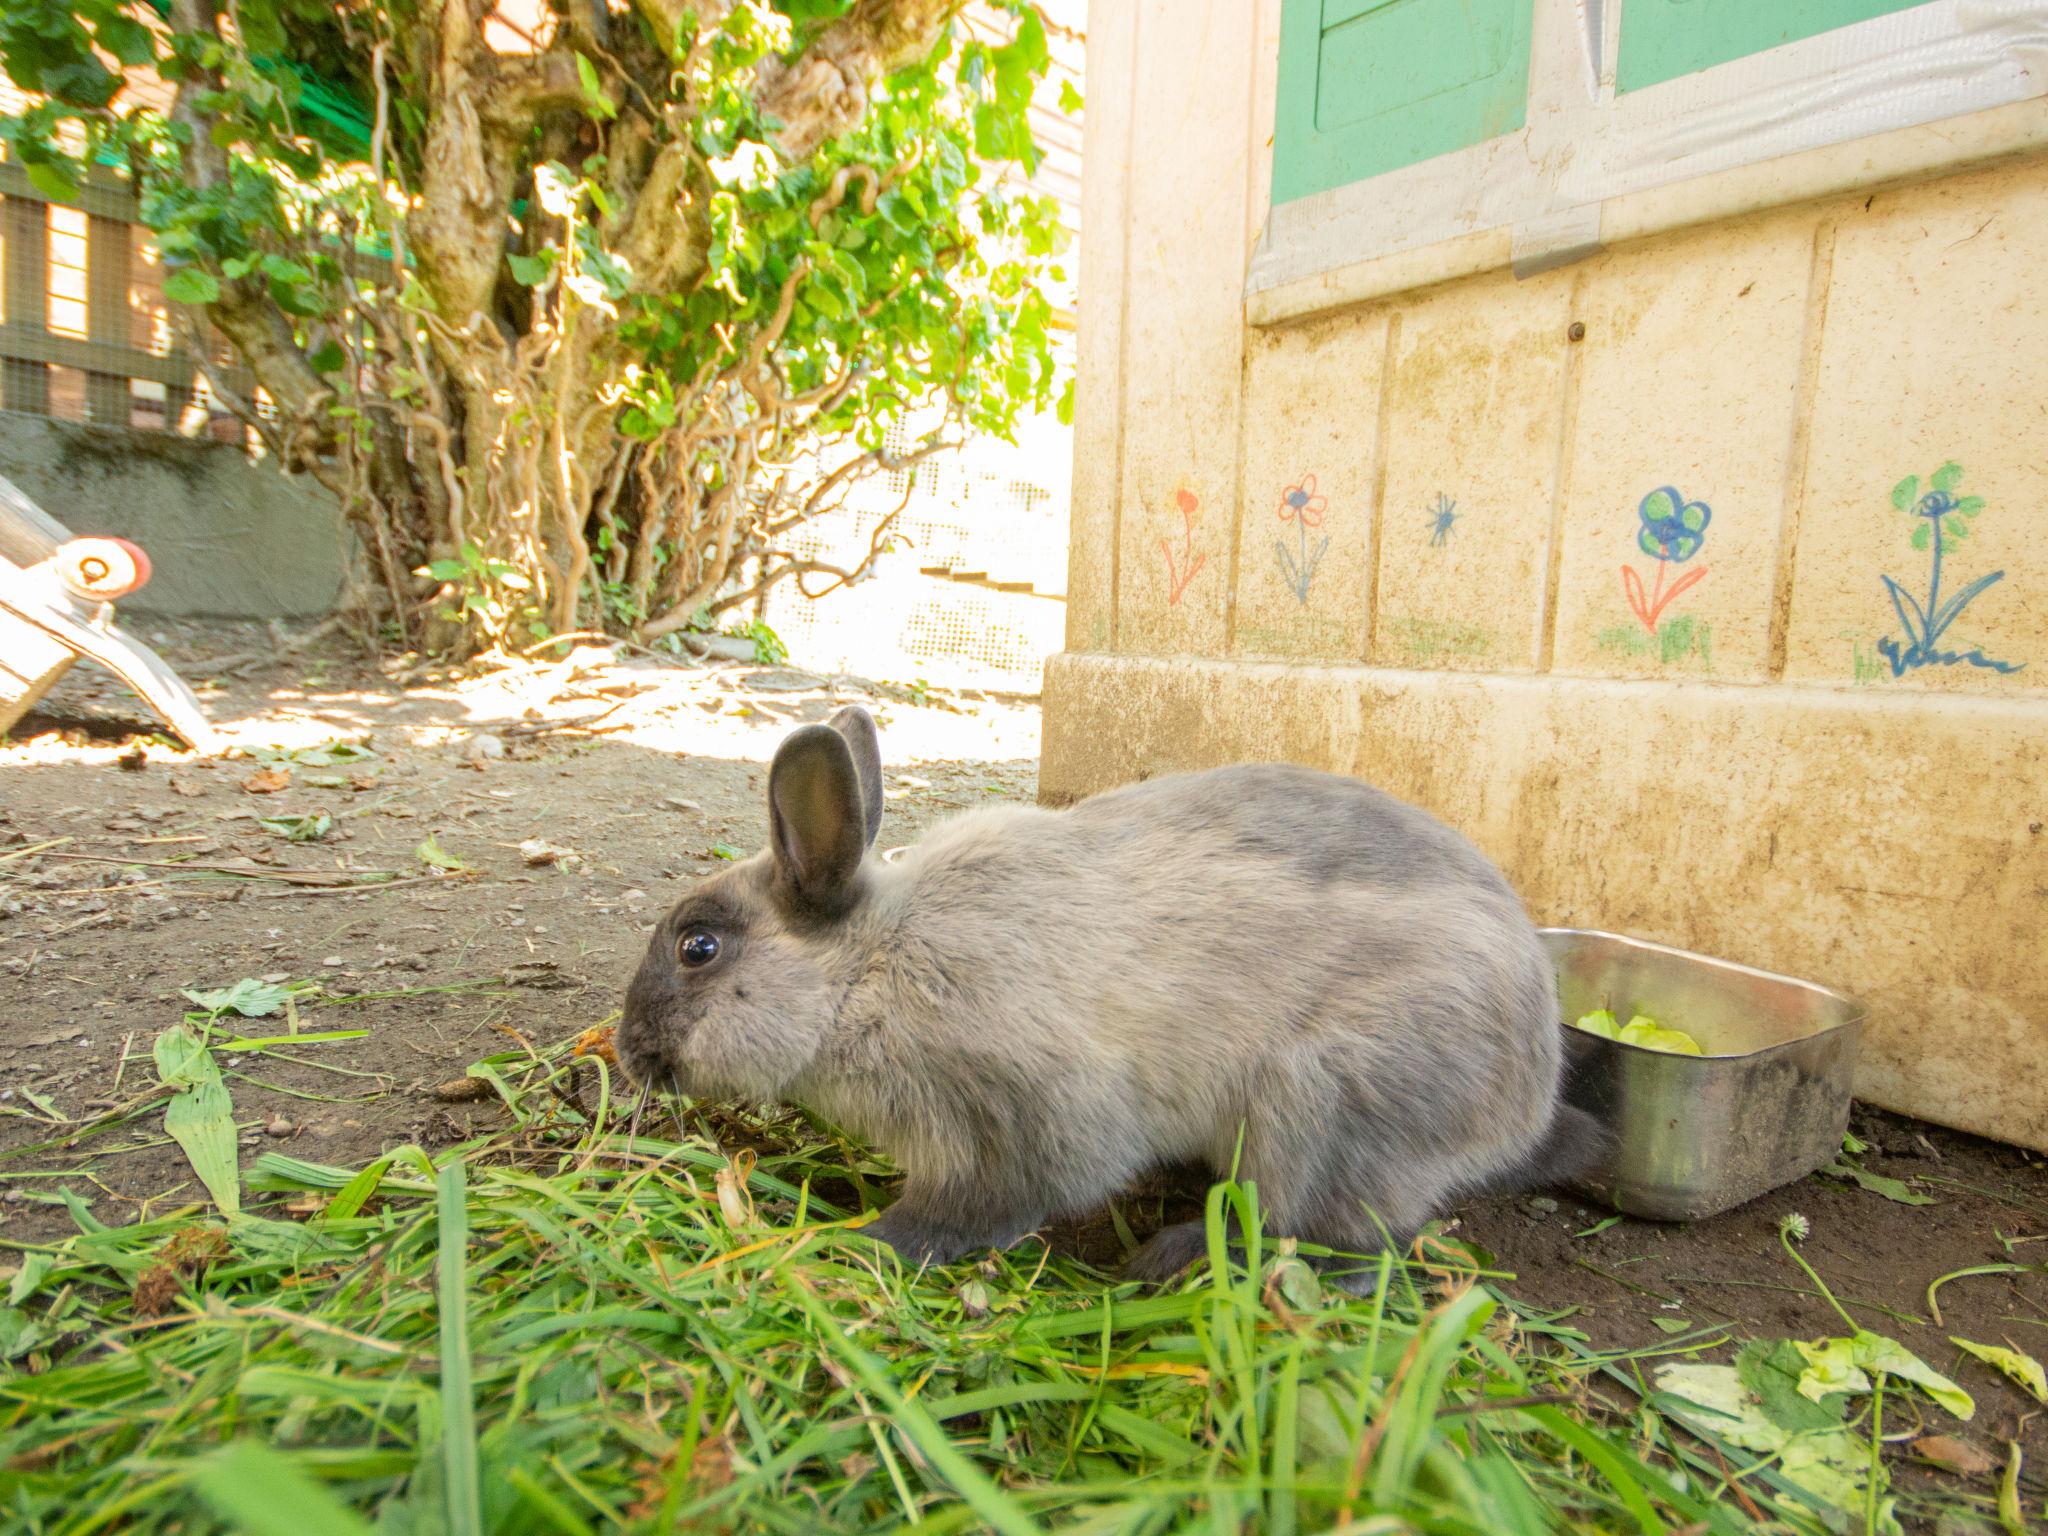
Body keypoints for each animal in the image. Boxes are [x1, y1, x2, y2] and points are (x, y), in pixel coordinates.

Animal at [610, 704, 1597, 1277]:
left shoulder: (1023, 1119)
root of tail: (1529, 1099)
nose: (627, 1053)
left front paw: (872, 1244)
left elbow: (976, 1208)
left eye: (699, 946)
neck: (866, 971)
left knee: (1342, 1242)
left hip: (1322, 1103)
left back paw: (1176, 1256)